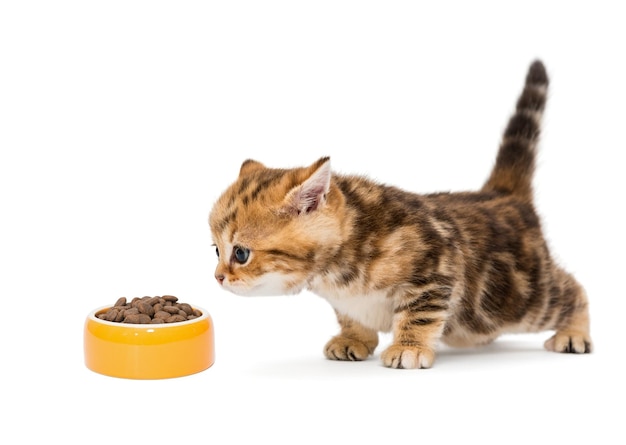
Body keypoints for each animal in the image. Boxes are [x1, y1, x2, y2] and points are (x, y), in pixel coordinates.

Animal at [210, 60, 588, 370]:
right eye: (216, 250)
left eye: (240, 253)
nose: (218, 278)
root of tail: (500, 195)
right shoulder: (347, 299)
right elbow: (350, 315)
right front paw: (354, 338)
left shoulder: (436, 270)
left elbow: (419, 314)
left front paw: (409, 347)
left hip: (525, 300)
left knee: (572, 288)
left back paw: (574, 333)